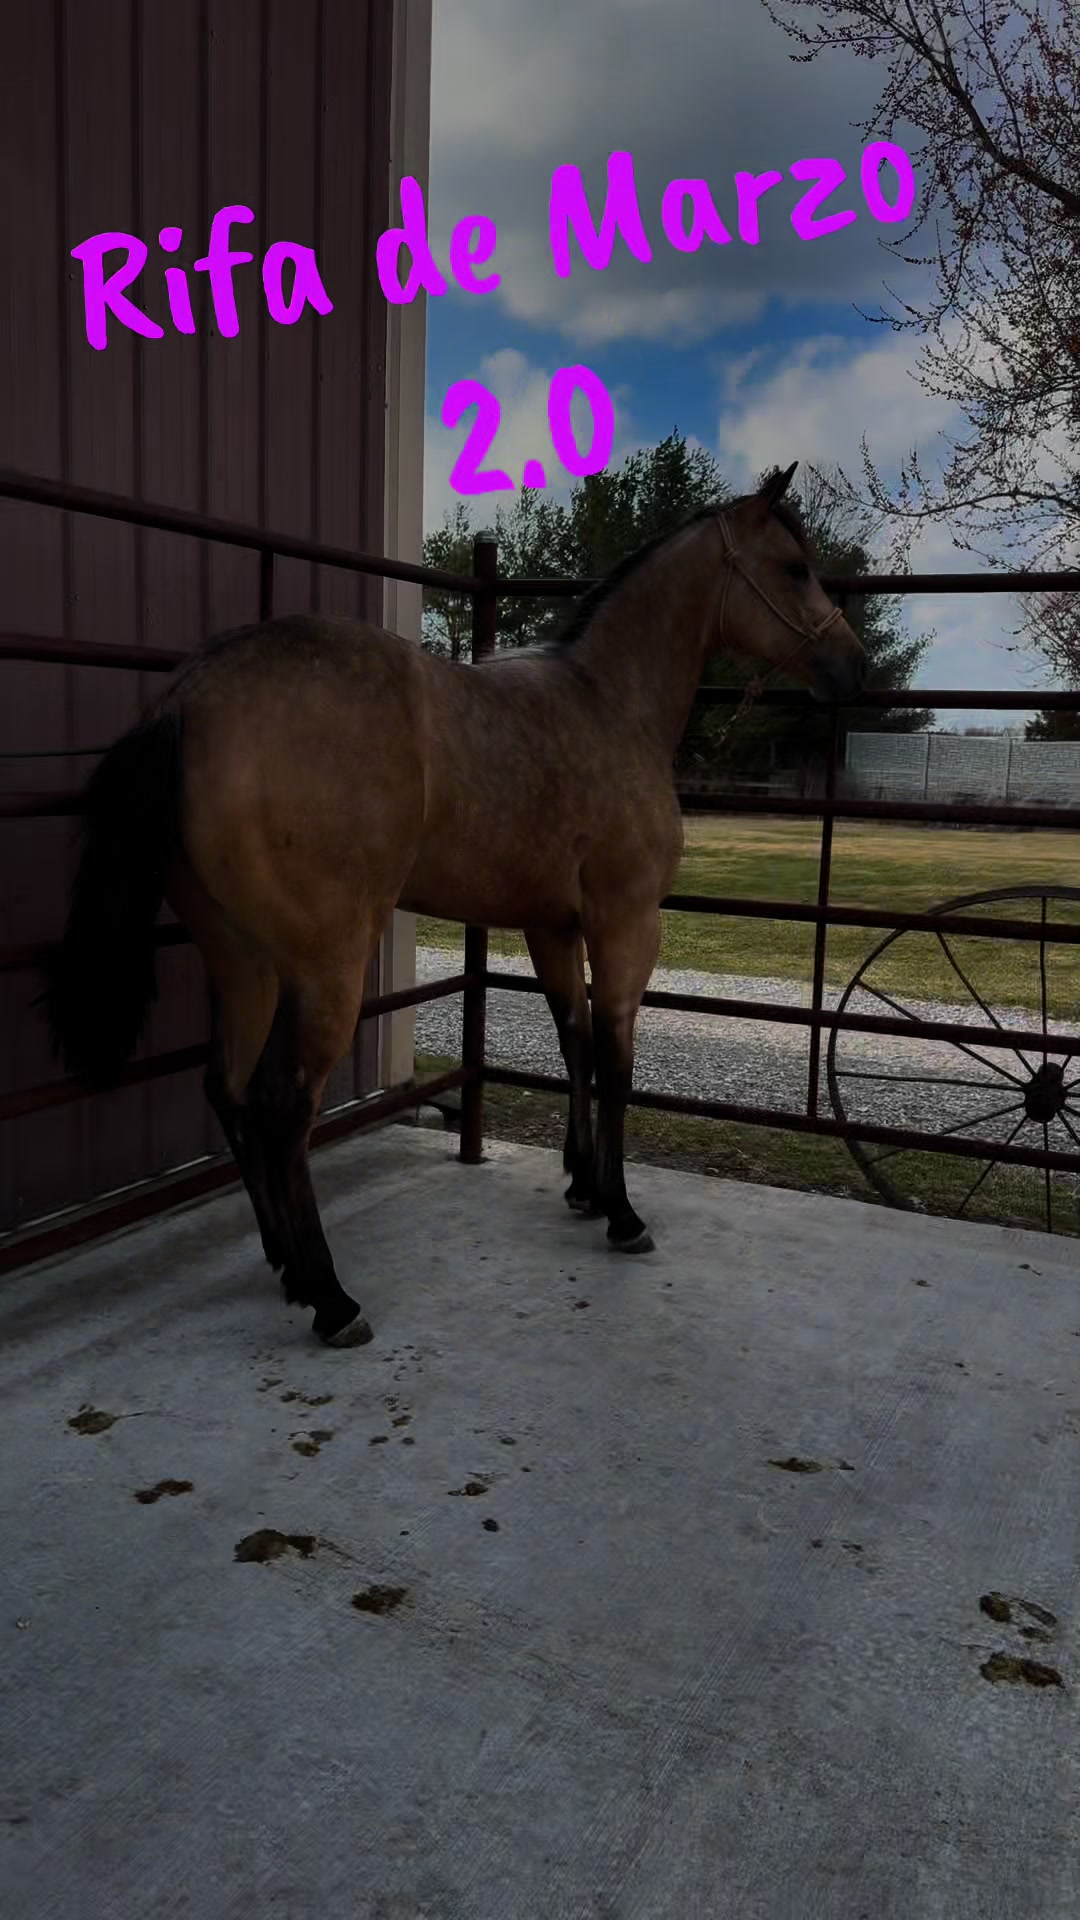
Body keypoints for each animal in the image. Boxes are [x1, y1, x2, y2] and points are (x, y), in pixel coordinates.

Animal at [44, 460, 865, 1349]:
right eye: (795, 568)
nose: (854, 668)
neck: (608, 702)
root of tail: (188, 700)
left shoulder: (552, 926)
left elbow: (573, 1042)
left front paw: (583, 1185)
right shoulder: (626, 924)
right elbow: (616, 1058)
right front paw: (621, 1212)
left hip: (241, 961)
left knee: (226, 1090)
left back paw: (285, 1264)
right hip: (325, 968)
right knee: (279, 1104)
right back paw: (331, 1297)